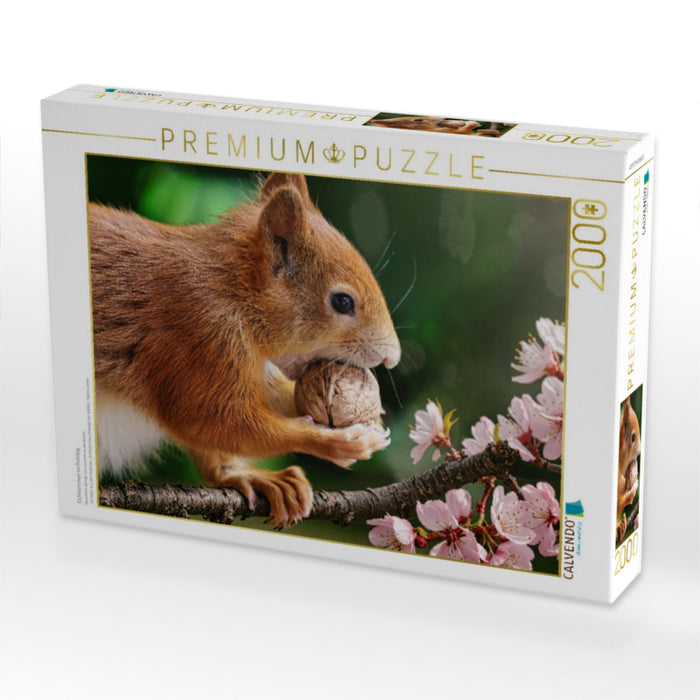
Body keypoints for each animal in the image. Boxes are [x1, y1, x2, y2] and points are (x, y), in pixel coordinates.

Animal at [89, 172, 401, 527]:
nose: (392, 357)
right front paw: (337, 443)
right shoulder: (198, 339)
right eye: (343, 302)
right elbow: (214, 420)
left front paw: (252, 475)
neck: (234, 292)